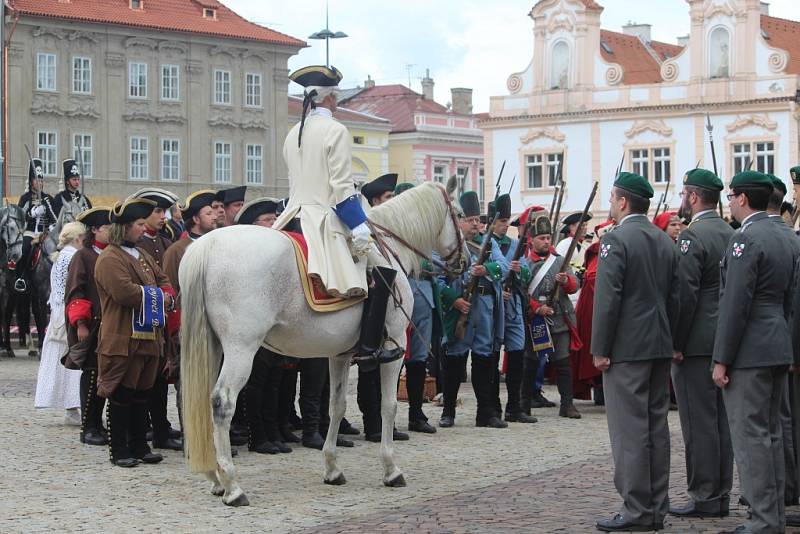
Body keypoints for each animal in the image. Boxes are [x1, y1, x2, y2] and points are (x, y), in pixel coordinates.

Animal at [175, 180, 462, 506]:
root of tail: (206, 246)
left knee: (199, 403)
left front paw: (332, 468)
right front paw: (391, 469)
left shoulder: (339, 354)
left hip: (213, 347)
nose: (463, 261)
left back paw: (215, 478)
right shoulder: (396, 344)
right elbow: (388, 405)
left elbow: (337, 405)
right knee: (222, 403)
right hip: (241, 349)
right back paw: (233, 486)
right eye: (459, 213)